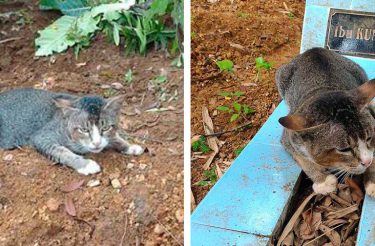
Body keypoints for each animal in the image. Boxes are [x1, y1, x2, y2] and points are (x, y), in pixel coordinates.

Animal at [0, 88, 144, 175]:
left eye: (105, 128)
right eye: (84, 129)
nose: (96, 143)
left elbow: (114, 137)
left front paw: (129, 146)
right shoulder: (42, 137)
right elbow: (63, 152)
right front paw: (85, 164)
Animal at [276, 47, 375, 198]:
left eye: (368, 138)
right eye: (344, 149)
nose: (367, 161)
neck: (324, 90)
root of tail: (314, 50)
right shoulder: (289, 137)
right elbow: (303, 160)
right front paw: (323, 181)